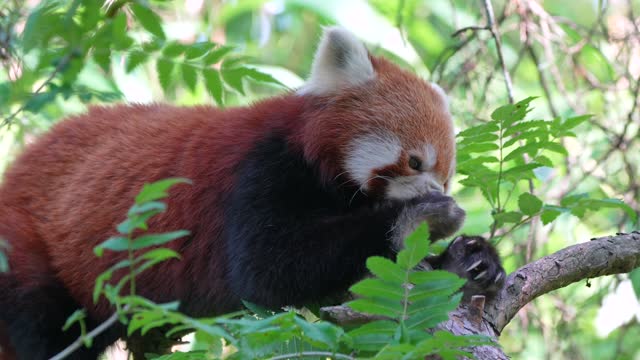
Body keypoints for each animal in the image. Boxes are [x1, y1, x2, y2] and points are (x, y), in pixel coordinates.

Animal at [0, 26, 502, 358]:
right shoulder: (258, 170)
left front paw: (468, 262)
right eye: (415, 162)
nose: (435, 191)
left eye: (447, 176)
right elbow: (268, 266)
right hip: (29, 249)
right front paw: (422, 217)